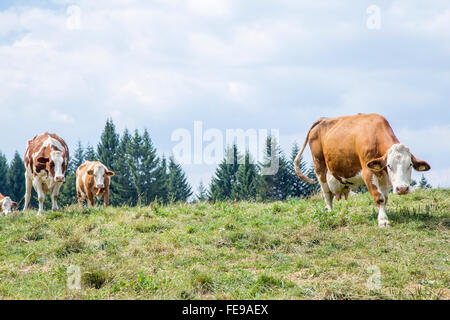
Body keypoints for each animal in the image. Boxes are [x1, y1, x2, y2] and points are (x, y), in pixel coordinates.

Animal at [294, 114, 430, 226]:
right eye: (389, 165)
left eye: (410, 164)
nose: (402, 189)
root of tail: (323, 119)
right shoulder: (368, 172)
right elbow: (379, 198)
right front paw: (383, 220)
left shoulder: (383, 176)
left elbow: (385, 198)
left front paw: (383, 216)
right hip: (319, 165)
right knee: (327, 194)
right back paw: (329, 213)